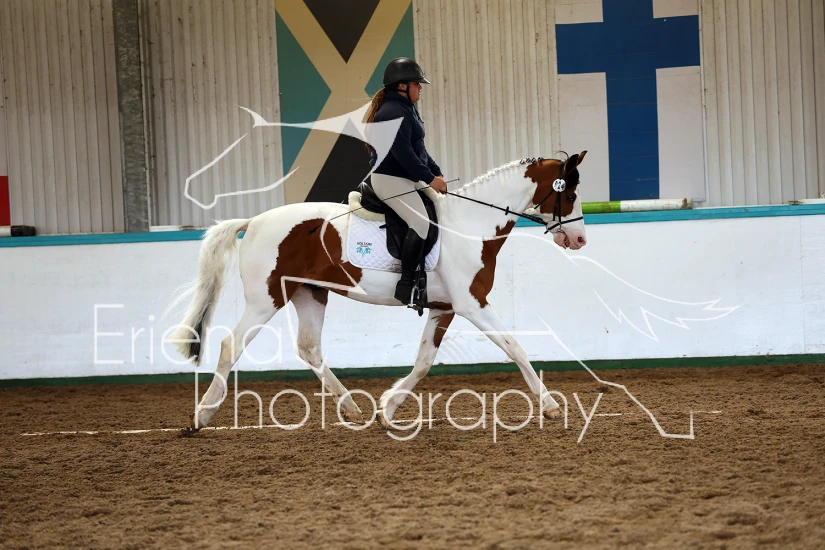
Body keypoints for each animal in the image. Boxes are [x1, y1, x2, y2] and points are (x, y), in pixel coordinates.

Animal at [169, 152, 588, 430]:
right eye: (569, 195)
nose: (580, 239)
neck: (471, 225)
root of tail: (254, 221)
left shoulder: (444, 307)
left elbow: (423, 361)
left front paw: (388, 409)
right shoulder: (473, 304)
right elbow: (515, 347)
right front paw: (551, 406)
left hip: (309, 293)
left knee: (309, 348)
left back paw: (353, 409)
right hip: (265, 298)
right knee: (231, 345)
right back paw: (202, 415)